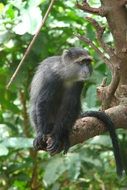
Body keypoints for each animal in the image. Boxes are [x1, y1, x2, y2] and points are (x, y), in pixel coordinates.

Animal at [29, 47, 123, 177]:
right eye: (82, 62)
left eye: (88, 62)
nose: (87, 70)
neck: (66, 74)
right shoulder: (51, 77)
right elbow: (43, 102)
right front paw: (41, 134)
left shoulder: (78, 83)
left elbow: (70, 105)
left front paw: (57, 137)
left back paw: (64, 135)